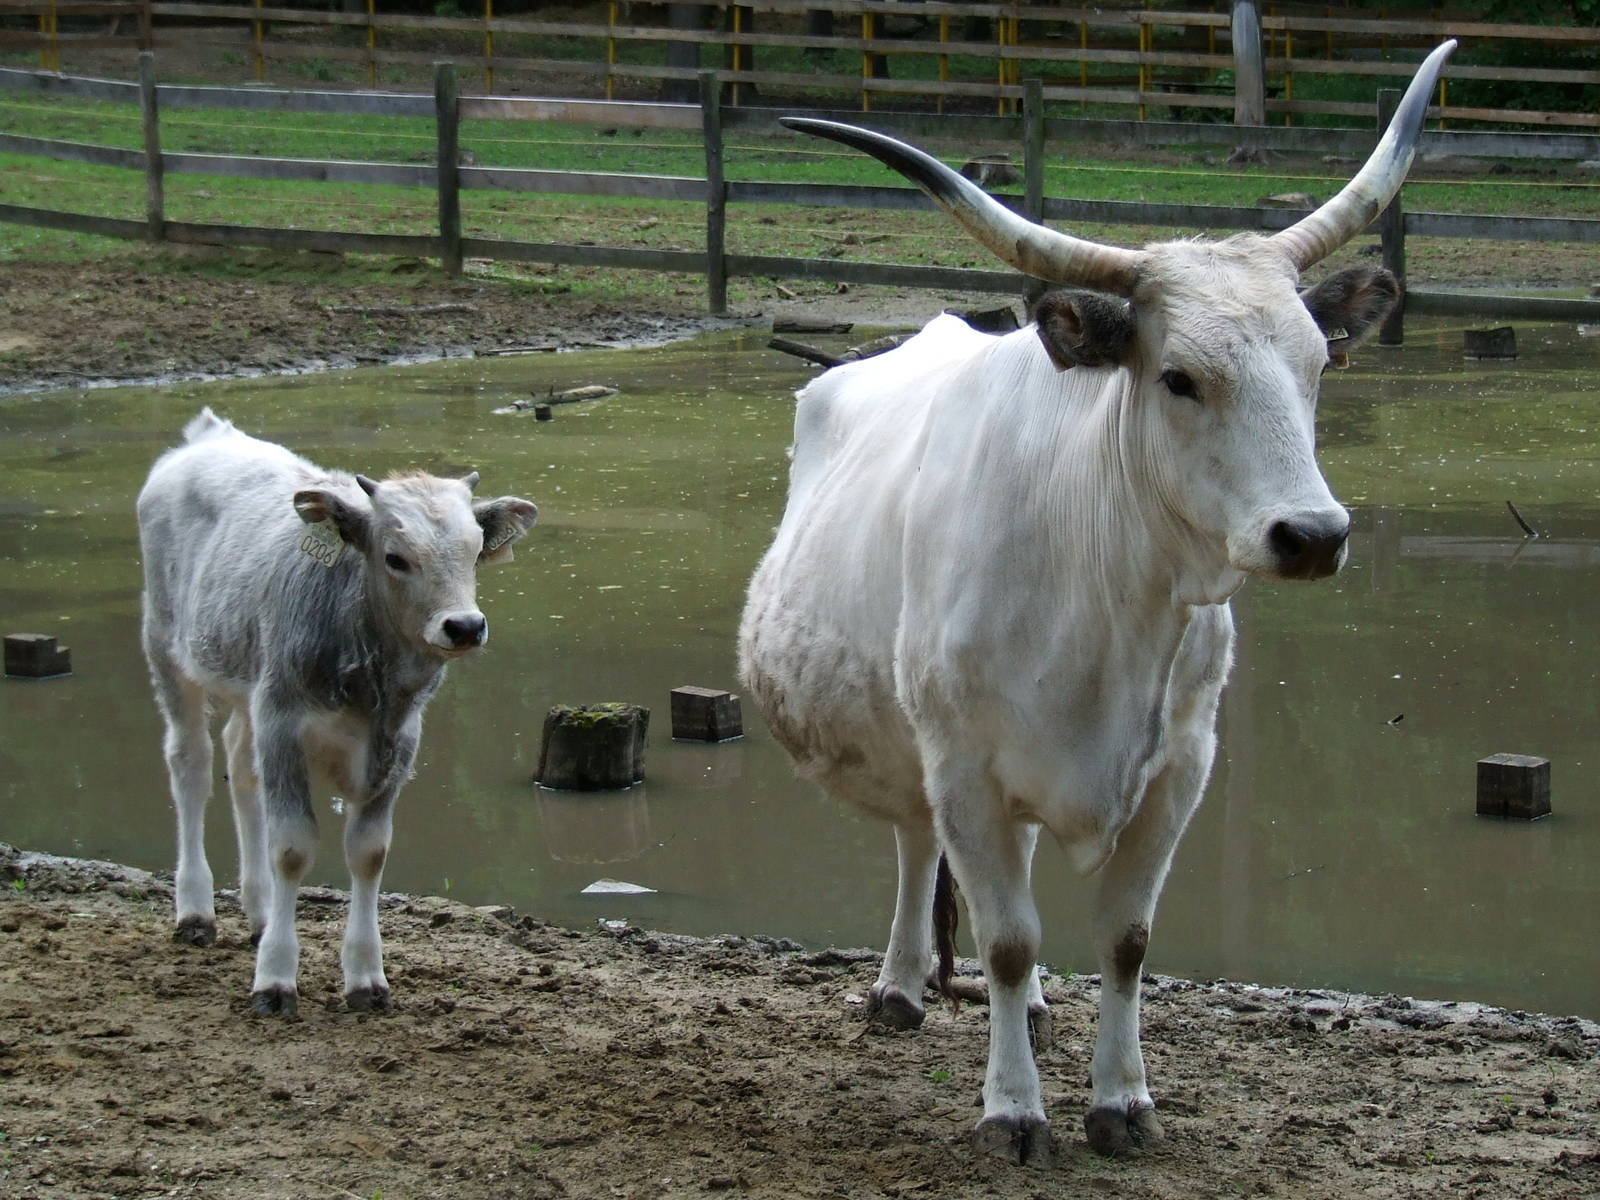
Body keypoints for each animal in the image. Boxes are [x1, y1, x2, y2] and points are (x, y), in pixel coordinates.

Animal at [138, 409, 537, 1016]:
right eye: (396, 558)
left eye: (474, 552)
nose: (465, 626)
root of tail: (209, 435)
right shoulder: (283, 721)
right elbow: (291, 848)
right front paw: (276, 979)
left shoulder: (398, 740)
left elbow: (368, 853)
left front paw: (366, 977)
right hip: (166, 645)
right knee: (191, 765)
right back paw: (195, 911)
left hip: (250, 684)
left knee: (240, 767)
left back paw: (258, 912)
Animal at [740, 43, 1454, 1164]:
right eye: (1178, 377)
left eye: (1317, 364)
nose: (1312, 535)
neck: (1105, 600)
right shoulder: (966, 765)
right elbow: (1004, 937)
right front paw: (1012, 1110)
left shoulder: (1180, 769)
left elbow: (1124, 939)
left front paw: (1121, 1100)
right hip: (910, 736)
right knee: (913, 842)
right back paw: (900, 989)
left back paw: (1026, 1009)